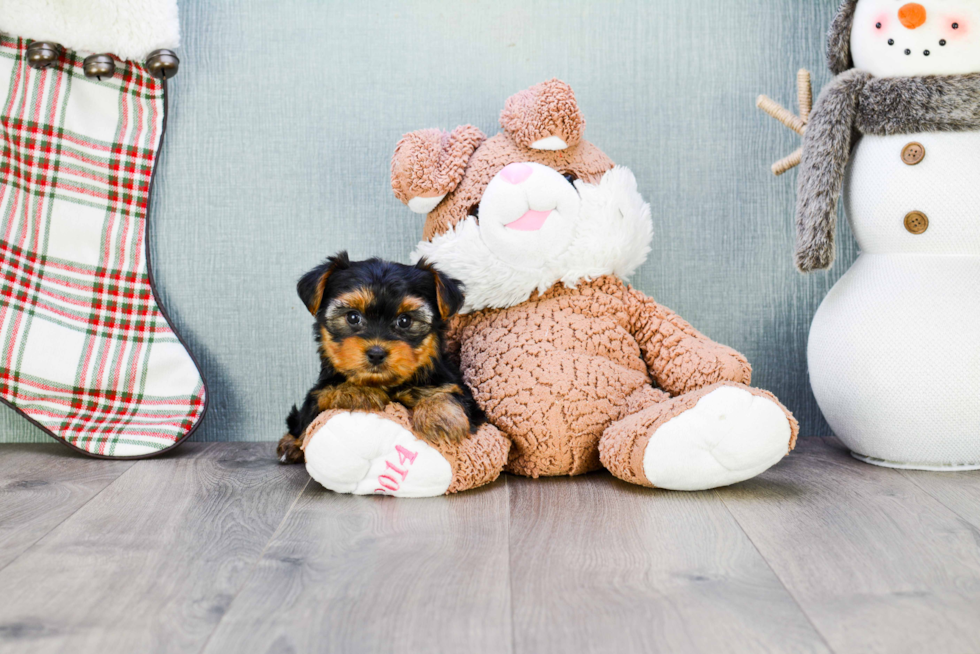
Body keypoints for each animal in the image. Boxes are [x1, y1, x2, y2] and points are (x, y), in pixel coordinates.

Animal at [278, 252, 484, 466]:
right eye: (353, 317)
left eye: (405, 321)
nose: (376, 353)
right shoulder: (317, 393)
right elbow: (323, 396)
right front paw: (357, 391)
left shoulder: (457, 389)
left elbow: (449, 392)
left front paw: (439, 415)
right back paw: (289, 445)